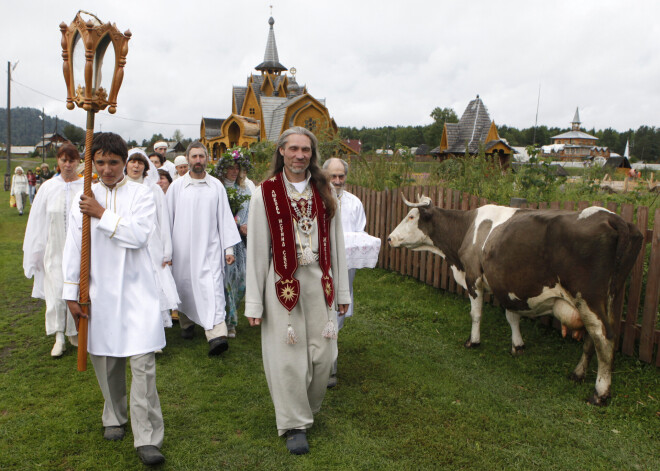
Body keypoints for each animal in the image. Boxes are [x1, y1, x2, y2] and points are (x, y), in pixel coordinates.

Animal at [390, 195, 640, 406]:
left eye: (410, 216)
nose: (390, 238)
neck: (467, 229)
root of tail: (612, 217)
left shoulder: (474, 277)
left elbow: (476, 314)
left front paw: (473, 341)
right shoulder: (505, 285)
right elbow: (512, 316)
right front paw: (517, 345)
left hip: (587, 297)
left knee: (603, 338)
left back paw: (600, 393)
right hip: (611, 298)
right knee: (598, 337)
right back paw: (578, 374)